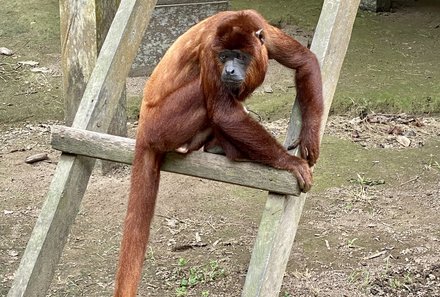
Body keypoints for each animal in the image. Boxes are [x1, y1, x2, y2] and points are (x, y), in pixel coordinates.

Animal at [113, 9, 324, 296]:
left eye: (240, 56)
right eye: (224, 57)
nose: (230, 69)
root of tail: (143, 125)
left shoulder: (263, 30)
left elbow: (305, 60)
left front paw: (310, 134)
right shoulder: (208, 50)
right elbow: (224, 112)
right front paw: (289, 162)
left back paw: (217, 147)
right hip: (161, 124)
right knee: (208, 97)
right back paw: (232, 150)